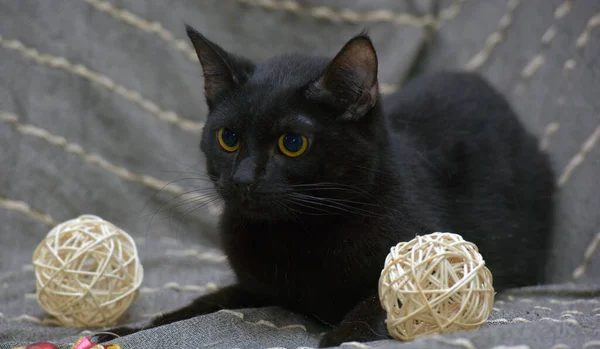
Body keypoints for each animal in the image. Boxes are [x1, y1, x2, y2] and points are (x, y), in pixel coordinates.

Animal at [101, 25, 556, 346]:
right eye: (227, 138)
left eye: (293, 143)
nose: (243, 178)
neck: (291, 236)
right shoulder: (252, 286)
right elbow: (199, 304)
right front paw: (126, 331)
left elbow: (382, 305)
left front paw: (340, 335)